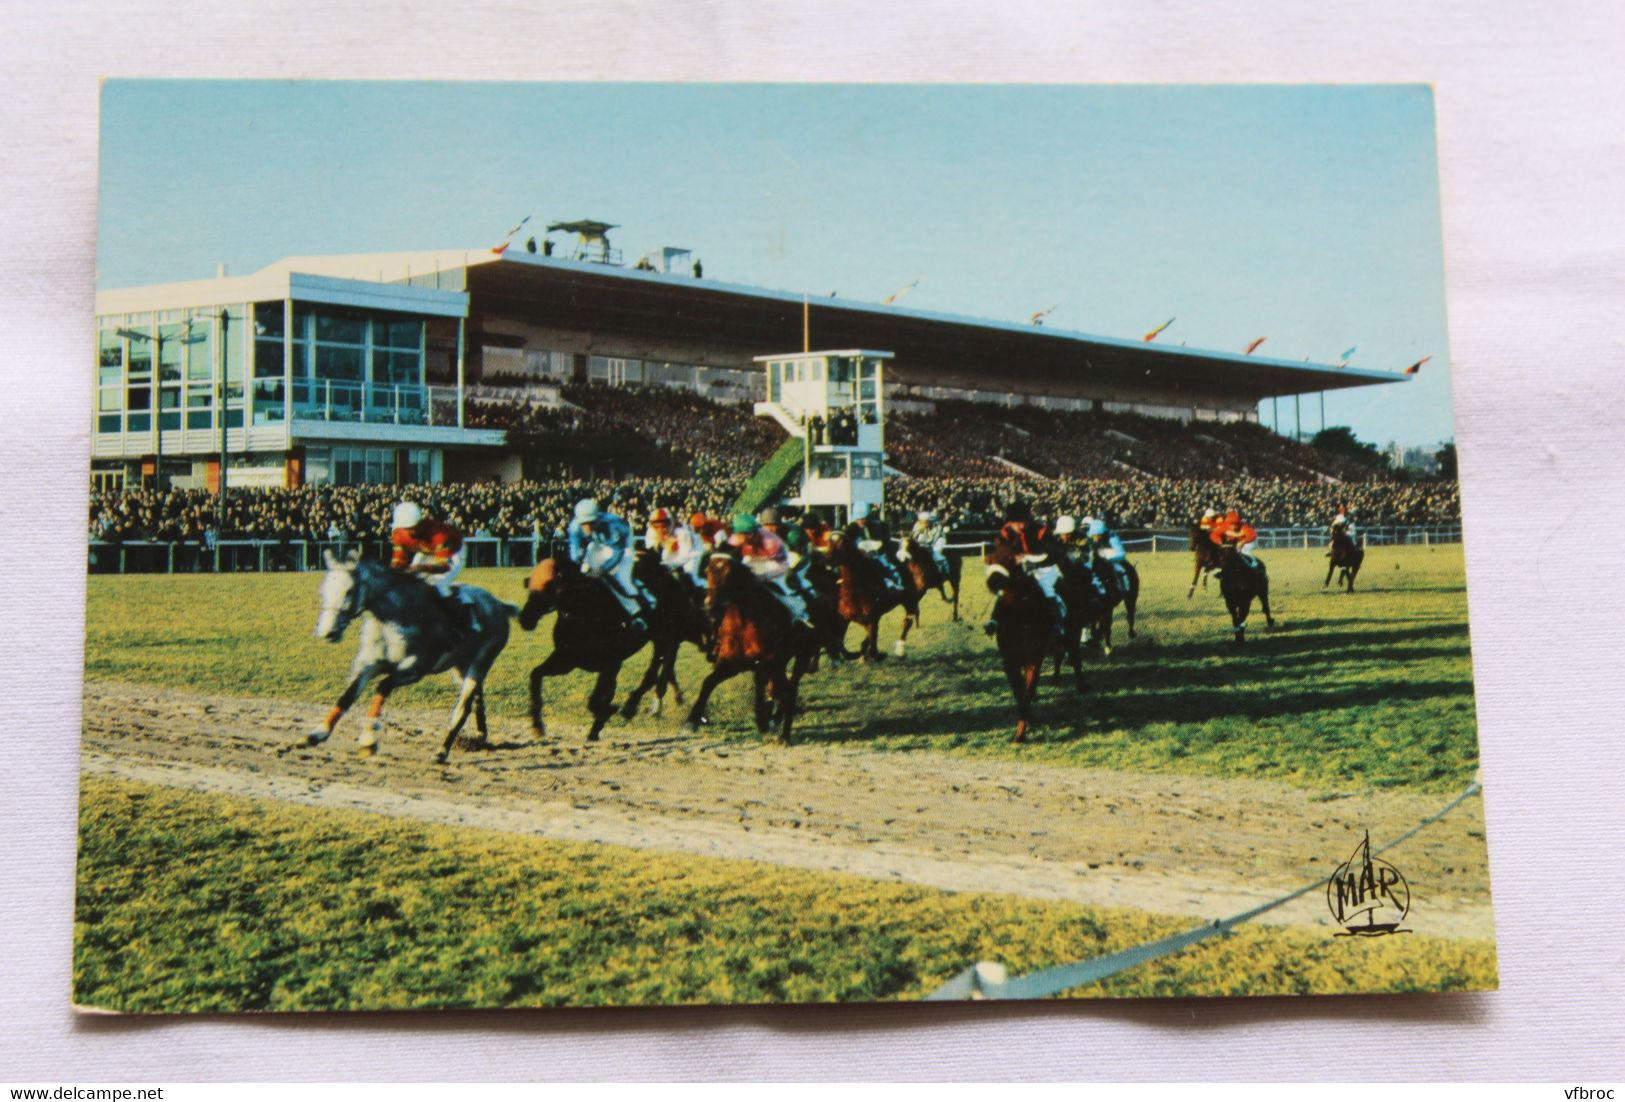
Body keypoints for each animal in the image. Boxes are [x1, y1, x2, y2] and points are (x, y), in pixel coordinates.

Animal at [310, 549, 520, 763]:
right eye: (323, 592)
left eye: (349, 592)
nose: (328, 632)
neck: (393, 617)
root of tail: (499, 604)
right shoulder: (369, 665)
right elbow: (347, 696)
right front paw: (318, 733)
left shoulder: (415, 669)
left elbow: (382, 686)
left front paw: (368, 740)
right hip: (460, 666)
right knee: (476, 699)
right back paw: (479, 735)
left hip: (481, 661)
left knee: (463, 707)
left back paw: (442, 751)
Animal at [682, 555, 819, 747]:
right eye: (708, 571)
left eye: (729, 574)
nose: (710, 606)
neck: (744, 623)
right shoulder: (732, 664)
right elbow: (709, 682)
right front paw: (691, 721)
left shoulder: (766, 663)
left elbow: (769, 691)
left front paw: (766, 726)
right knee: (780, 690)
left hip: (799, 658)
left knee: (790, 690)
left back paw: (783, 733)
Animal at [975, 542, 1092, 747]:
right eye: (990, 560)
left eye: (1010, 561)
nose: (993, 582)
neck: (1021, 617)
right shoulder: (1010, 662)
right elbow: (1020, 692)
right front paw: (1027, 723)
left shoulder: (1033, 660)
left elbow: (1026, 693)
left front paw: (1020, 734)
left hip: (1072, 633)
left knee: (1075, 658)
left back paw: (1081, 685)